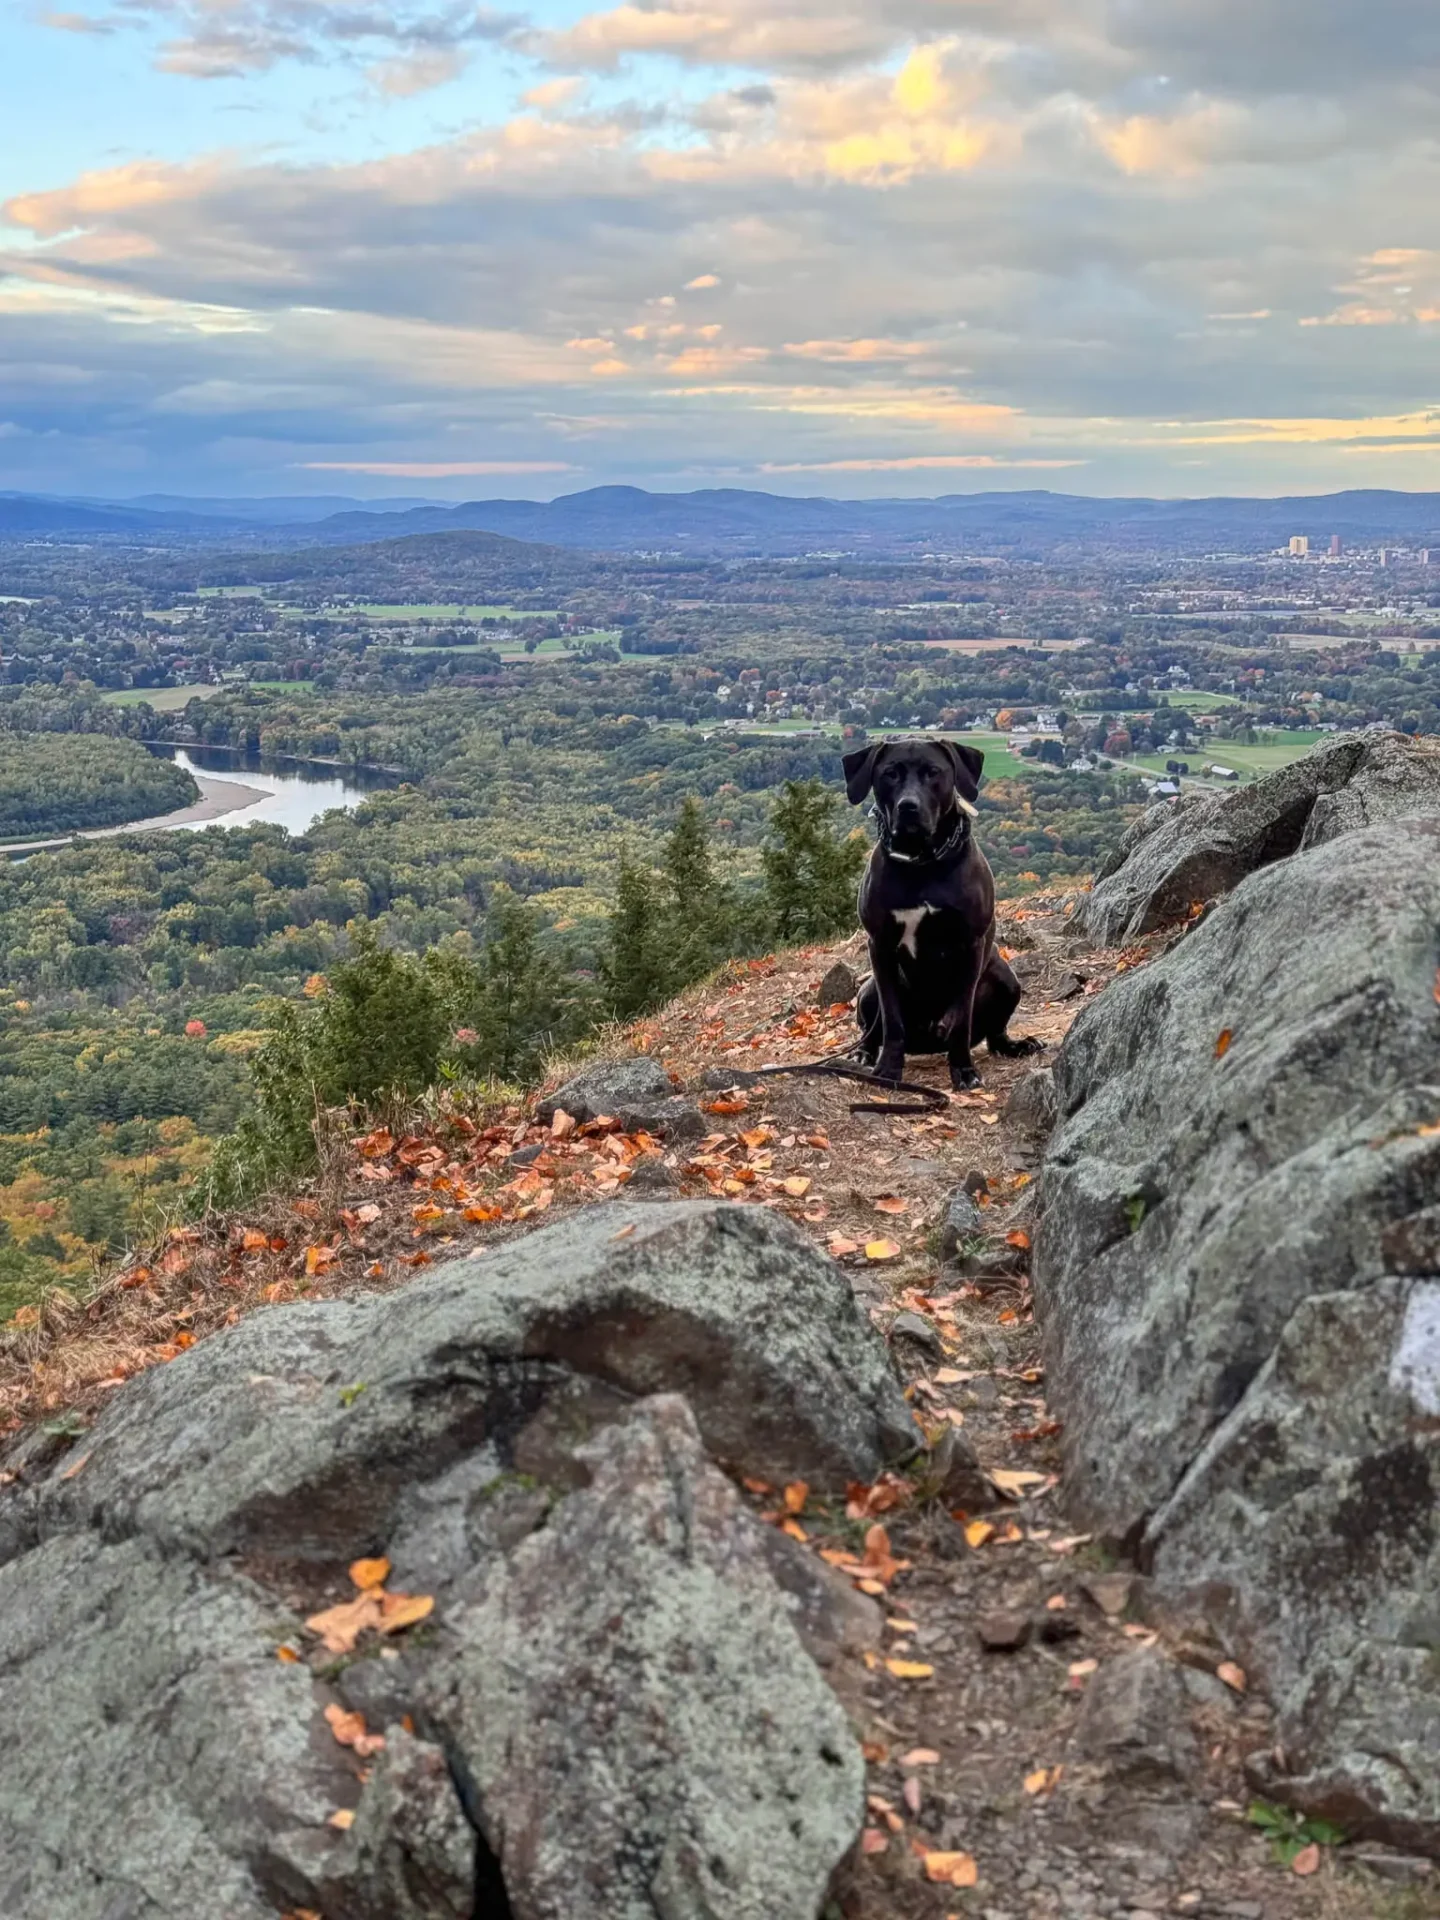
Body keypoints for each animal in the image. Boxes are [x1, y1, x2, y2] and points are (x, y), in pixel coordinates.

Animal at [844, 737, 1036, 1090]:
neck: (922, 863)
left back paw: (1016, 1045)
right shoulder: (880, 946)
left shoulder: (971, 945)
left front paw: (963, 1070)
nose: (908, 806)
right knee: (871, 1028)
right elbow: (891, 1020)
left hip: (1007, 980)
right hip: (867, 991)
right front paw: (888, 1070)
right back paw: (863, 1053)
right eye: (890, 773)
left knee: (995, 1034)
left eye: (933, 772)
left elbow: (961, 1018)